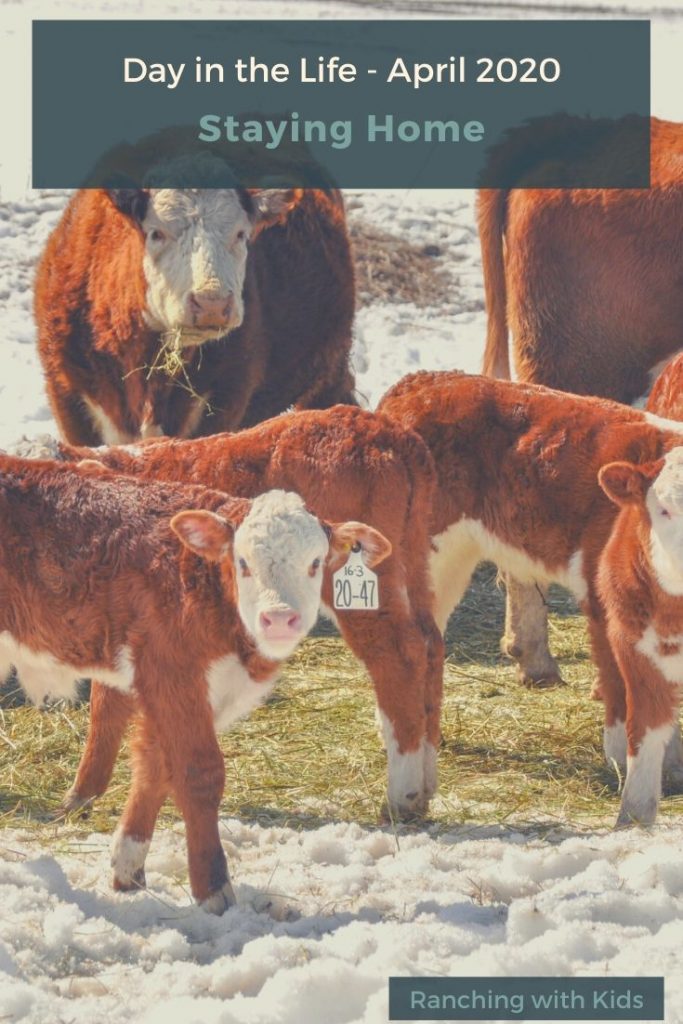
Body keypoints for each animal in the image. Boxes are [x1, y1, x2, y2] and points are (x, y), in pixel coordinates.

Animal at [0, 456, 387, 913]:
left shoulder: (180, 688)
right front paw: (213, 889)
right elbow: (200, 774)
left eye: (315, 562)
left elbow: (155, 766)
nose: (279, 619)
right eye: (243, 563)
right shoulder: (172, 673)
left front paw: (128, 868)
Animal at [17, 403, 444, 819]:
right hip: (411, 559)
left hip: (359, 587)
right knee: (429, 642)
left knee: (398, 655)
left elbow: (104, 704)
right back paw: (426, 781)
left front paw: (81, 793)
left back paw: (402, 795)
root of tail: (388, 431)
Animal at [35, 182, 358, 446]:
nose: (211, 304)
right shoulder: (67, 394)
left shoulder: (223, 399)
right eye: (156, 233)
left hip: (329, 367)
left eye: (241, 234)